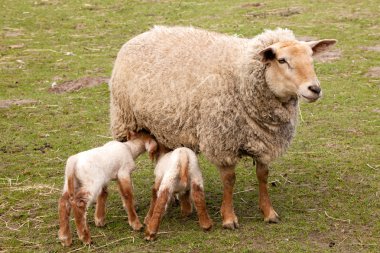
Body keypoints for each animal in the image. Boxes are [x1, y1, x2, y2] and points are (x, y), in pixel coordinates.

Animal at [108, 25, 336, 229]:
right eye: (282, 60)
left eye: (311, 58)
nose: (314, 89)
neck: (242, 79)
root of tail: (145, 33)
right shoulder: (222, 140)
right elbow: (229, 180)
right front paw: (228, 218)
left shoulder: (263, 142)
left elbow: (263, 176)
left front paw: (269, 213)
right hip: (127, 121)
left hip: (165, 127)